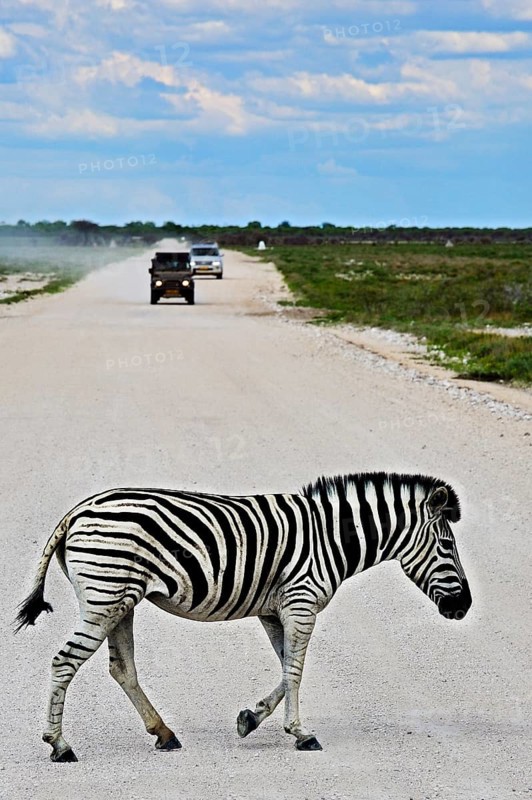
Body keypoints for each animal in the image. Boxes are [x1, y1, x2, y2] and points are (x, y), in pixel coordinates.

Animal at [15, 471, 472, 761]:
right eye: (447, 546)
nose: (463, 607)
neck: (330, 538)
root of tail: (79, 510)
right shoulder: (301, 602)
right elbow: (295, 671)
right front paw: (301, 735)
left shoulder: (274, 611)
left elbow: (287, 670)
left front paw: (251, 719)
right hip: (105, 598)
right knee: (64, 661)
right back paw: (60, 746)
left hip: (120, 601)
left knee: (121, 668)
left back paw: (164, 734)